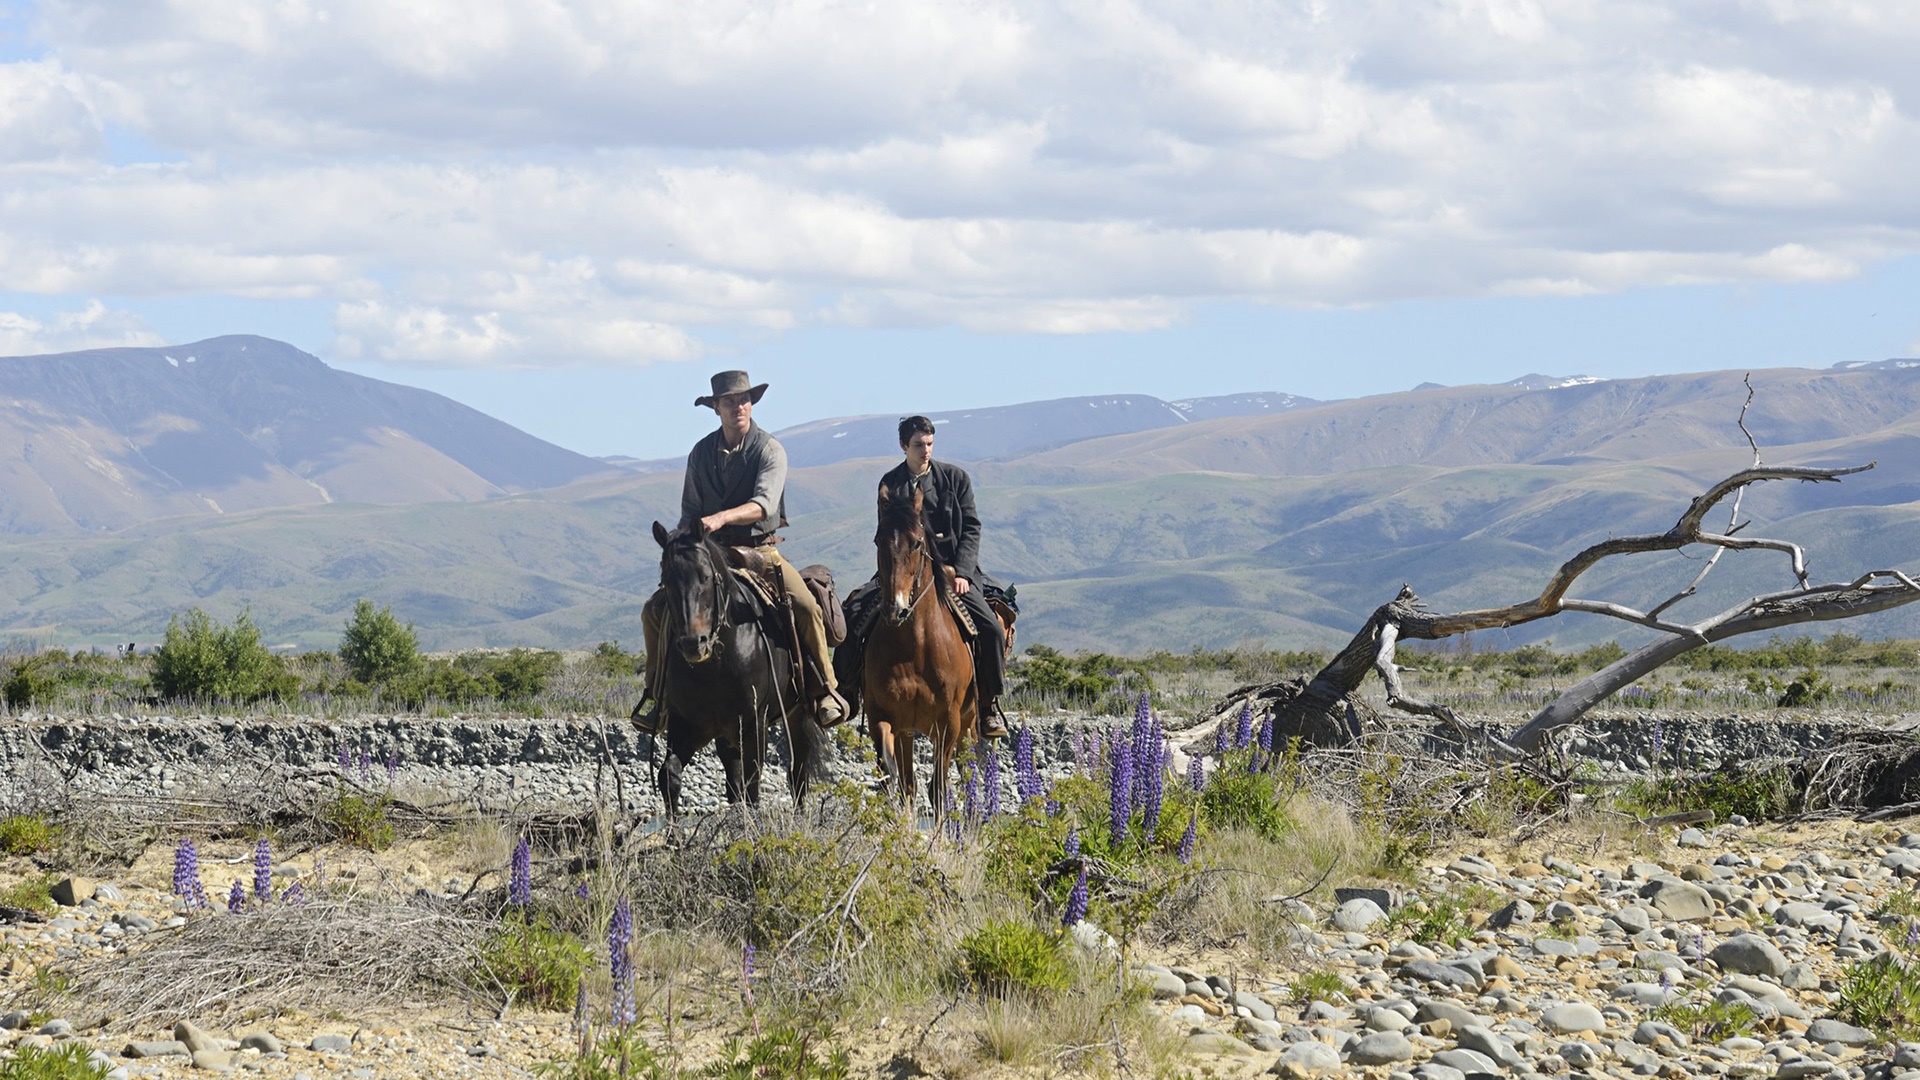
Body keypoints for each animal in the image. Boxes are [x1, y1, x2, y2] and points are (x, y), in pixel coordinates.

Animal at [864, 484, 975, 818]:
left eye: (916, 542)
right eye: (878, 540)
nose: (895, 609)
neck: (915, 649)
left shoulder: (949, 722)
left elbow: (937, 788)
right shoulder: (883, 717)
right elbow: (896, 780)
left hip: (968, 723)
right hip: (909, 731)